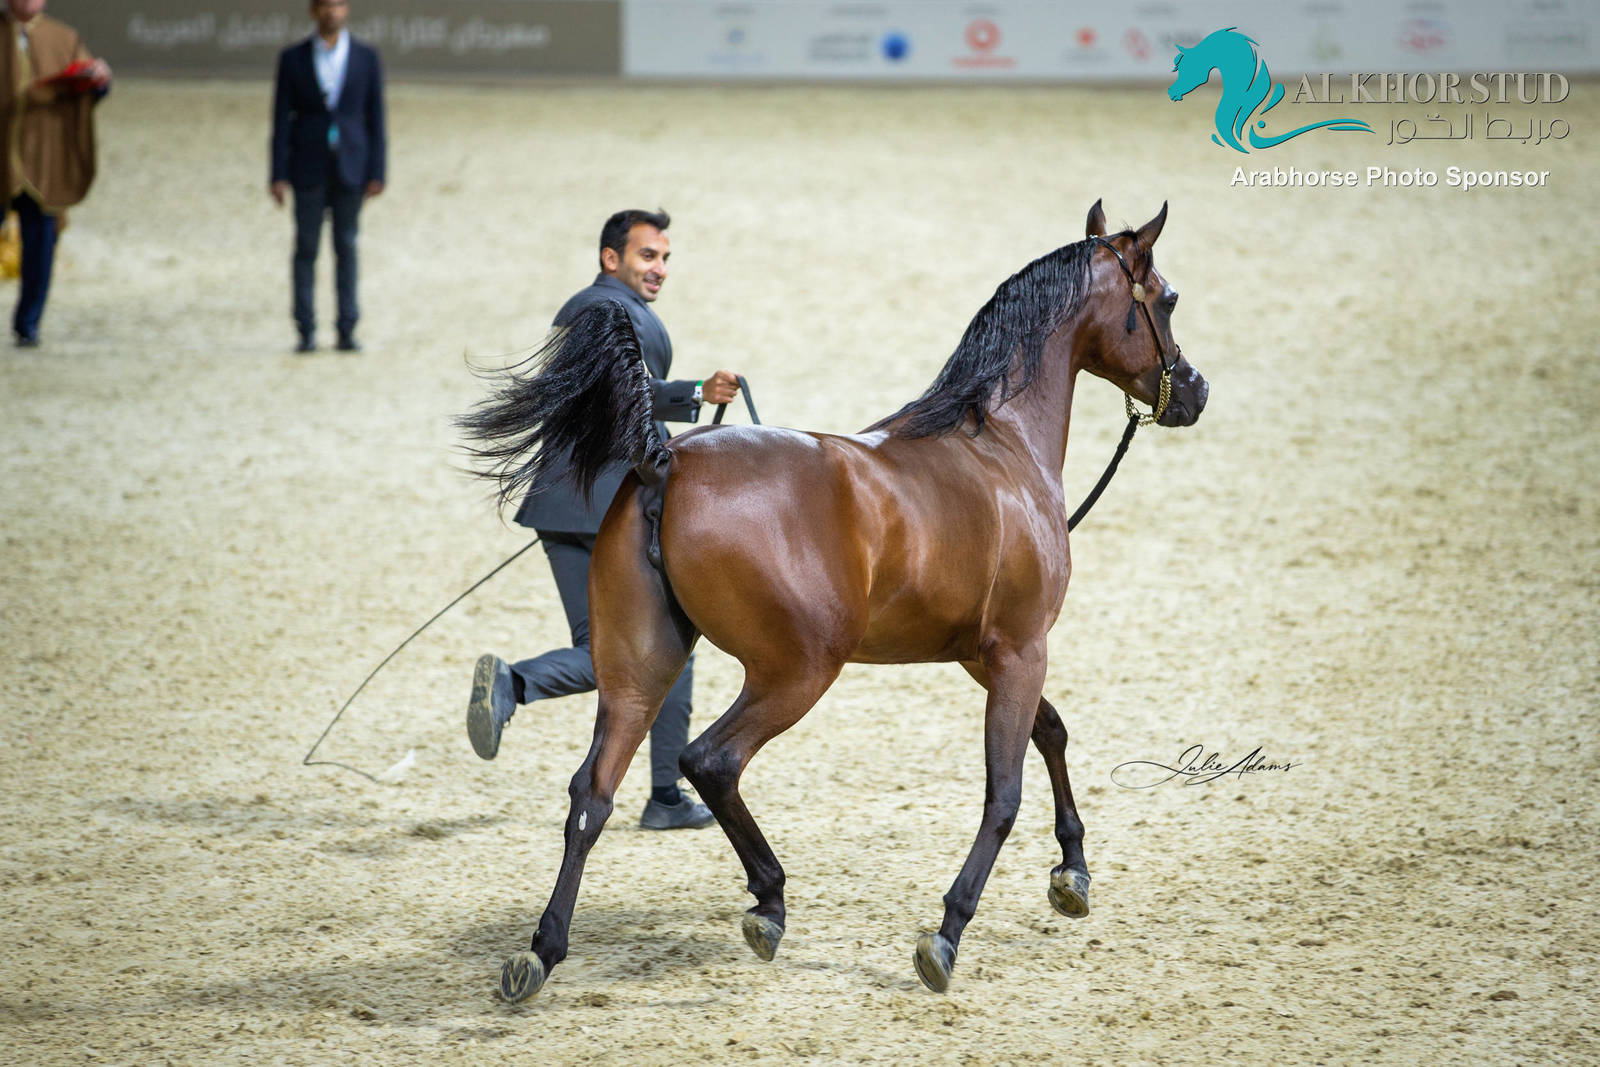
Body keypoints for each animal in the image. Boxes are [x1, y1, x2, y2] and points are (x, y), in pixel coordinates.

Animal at [459, 201, 1208, 1000]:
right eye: (1167, 298)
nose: (1195, 390)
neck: (1001, 446)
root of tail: (665, 461)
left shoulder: (985, 654)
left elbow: (1052, 733)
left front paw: (1072, 874)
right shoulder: (1020, 648)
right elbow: (1005, 792)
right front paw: (947, 933)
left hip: (641, 668)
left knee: (592, 794)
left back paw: (543, 950)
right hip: (799, 670)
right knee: (710, 760)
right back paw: (769, 902)